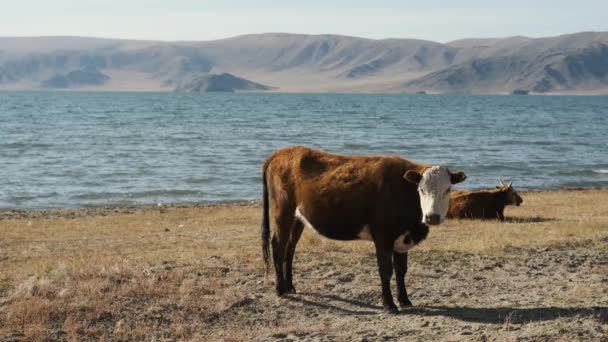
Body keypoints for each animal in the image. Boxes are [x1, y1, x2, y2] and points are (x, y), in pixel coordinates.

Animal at [260, 146, 466, 314]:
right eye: (421, 189)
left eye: (448, 189)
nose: (432, 217)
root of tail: (281, 152)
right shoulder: (382, 236)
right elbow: (386, 270)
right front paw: (389, 304)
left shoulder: (402, 238)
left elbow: (401, 271)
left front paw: (405, 300)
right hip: (282, 211)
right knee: (278, 246)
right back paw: (280, 289)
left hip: (298, 218)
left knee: (290, 248)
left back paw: (289, 286)